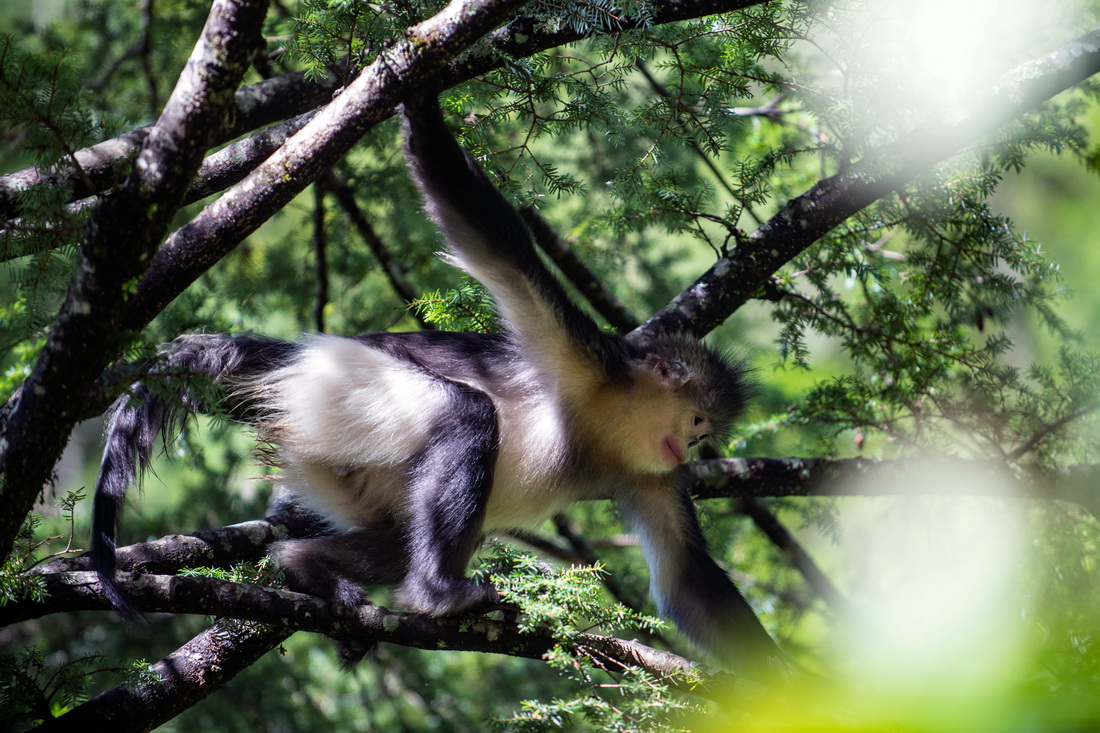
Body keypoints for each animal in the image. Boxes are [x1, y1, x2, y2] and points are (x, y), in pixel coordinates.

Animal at [92, 88, 783, 677]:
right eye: (698, 424)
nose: (692, 448)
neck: (609, 421)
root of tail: (293, 357)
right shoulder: (588, 361)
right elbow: (494, 239)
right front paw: (421, 96)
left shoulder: (650, 473)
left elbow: (686, 578)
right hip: (345, 387)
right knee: (468, 416)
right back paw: (436, 594)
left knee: (393, 535)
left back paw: (308, 568)